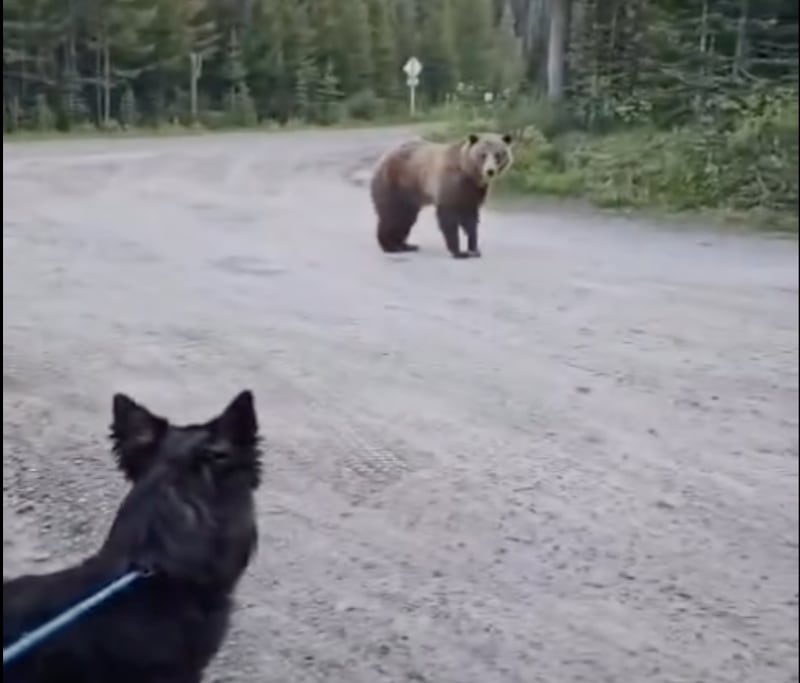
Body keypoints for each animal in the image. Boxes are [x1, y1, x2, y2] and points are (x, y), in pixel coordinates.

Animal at [369, 132, 514, 259]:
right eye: (483, 155)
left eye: (498, 155)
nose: (490, 171)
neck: (468, 173)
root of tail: (384, 156)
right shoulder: (450, 185)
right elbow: (449, 218)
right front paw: (459, 252)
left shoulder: (473, 192)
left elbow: (471, 221)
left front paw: (474, 250)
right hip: (395, 185)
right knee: (392, 215)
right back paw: (390, 246)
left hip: (409, 196)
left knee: (406, 218)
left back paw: (406, 245)